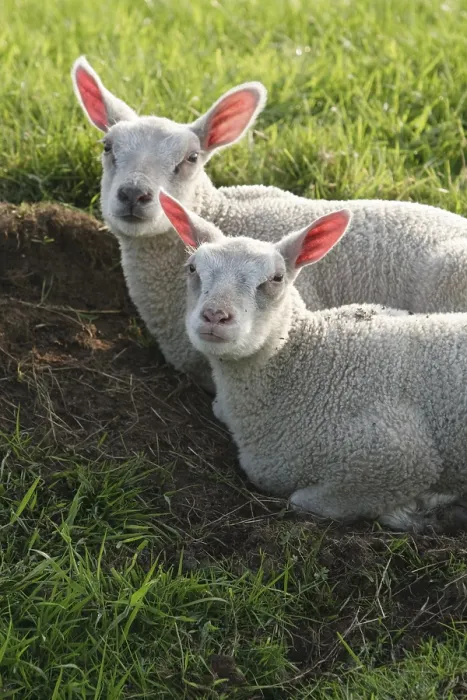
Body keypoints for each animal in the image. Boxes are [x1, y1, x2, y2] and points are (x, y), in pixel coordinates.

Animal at [159, 190, 467, 534]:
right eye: (192, 269)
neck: (309, 363)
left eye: (277, 278)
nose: (215, 315)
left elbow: (301, 500)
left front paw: (423, 509)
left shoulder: (396, 458)